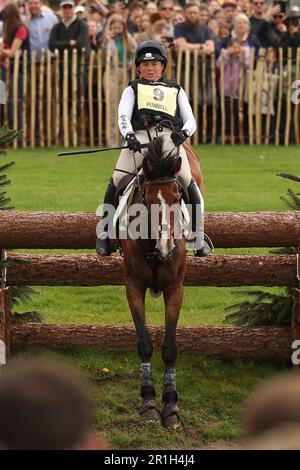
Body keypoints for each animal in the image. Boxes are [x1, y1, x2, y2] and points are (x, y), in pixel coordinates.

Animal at [118, 136, 203, 430]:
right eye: (147, 198)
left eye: (178, 197)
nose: (166, 246)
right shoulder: (133, 286)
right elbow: (144, 343)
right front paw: (148, 403)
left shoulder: (175, 289)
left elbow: (169, 347)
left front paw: (171, 406)